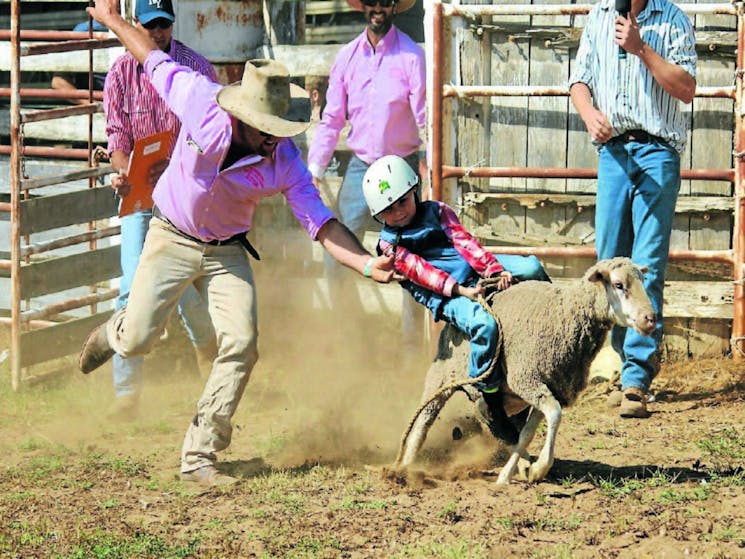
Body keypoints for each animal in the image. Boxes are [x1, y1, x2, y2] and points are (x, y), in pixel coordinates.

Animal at [392, 258, 652, 486]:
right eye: (619, 284)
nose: (650, 318)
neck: (566, 315)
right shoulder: (527, 379)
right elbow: (553, 416)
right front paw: (538, 468)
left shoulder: (549, 388)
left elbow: (528, 432)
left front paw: (523, 470)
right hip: (442, 377)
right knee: (422, 424)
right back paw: (404, 468)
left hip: (505, 398)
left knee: (492, 422)